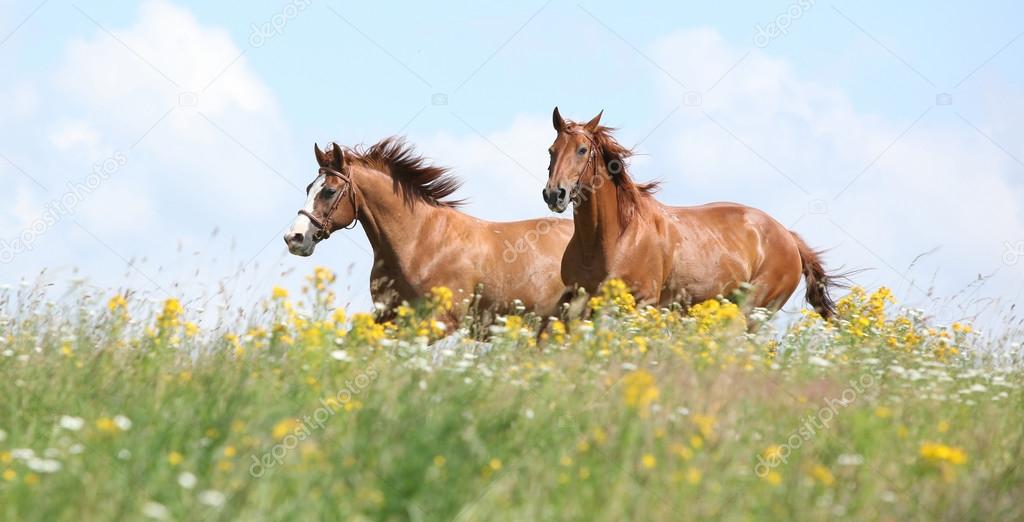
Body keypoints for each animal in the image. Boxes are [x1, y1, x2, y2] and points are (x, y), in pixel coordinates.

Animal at [284, 140, 573, 323]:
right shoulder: (387, 314)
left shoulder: (442, 321)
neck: (419, 241)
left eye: (329, 191)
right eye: (309, 187)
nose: (294, 238)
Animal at [544, 107, 839, 315]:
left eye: (582, 150)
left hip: (755, 310)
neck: (614, 238)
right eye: (551, 150)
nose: (554, 194)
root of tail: (789, 237)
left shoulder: (642, 301)